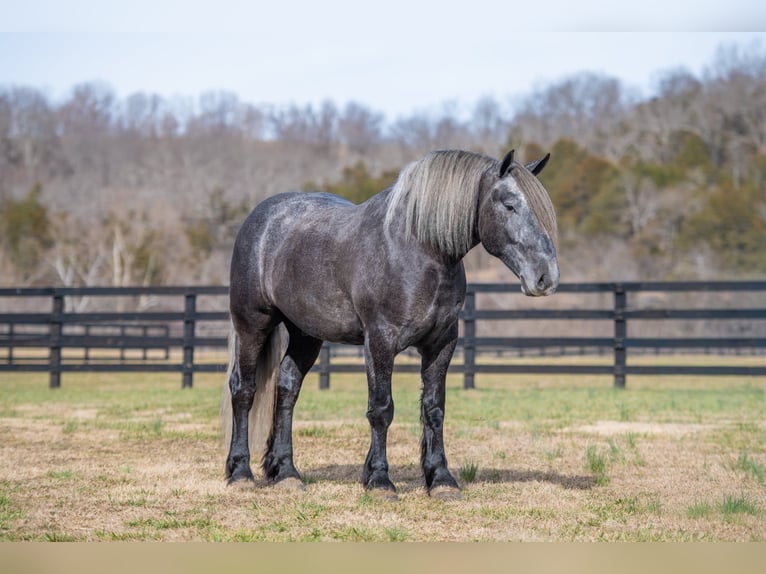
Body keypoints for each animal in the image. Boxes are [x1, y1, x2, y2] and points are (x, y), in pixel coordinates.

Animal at [221, 148, 559, 500]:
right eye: (509, 204)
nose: (545, 277)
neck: (417, 250)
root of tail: (261, 217)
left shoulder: (442, 343)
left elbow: (434, 408)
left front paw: (440, 479)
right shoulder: (380, 341)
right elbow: (381, 409)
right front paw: (380, 480)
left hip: (306, 334)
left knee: (287, 389)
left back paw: (286, 473)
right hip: (252, 324)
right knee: (243, 389)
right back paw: (241, 472)